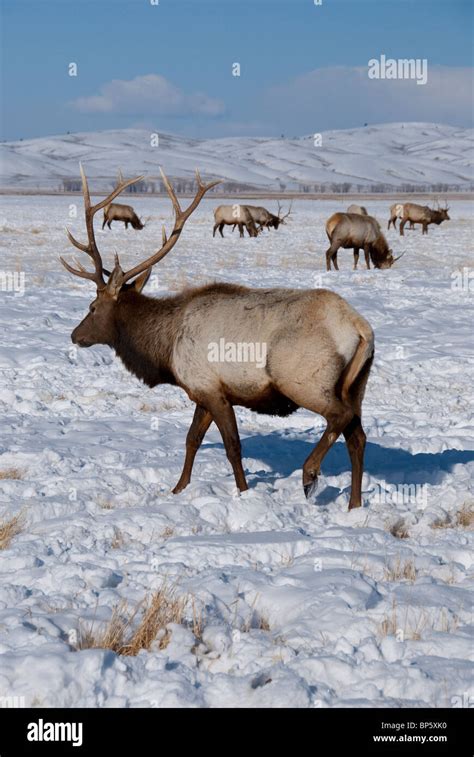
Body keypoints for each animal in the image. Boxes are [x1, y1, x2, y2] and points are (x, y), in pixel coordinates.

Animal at [61, 164, 376, 508]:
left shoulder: (213, 390)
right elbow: (192, 440)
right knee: (357, 437)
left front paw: (243, 492)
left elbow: (232, 447)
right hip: (356, 386)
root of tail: (361, 328)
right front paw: (178, 489)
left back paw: (309, 473)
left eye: (92, 307)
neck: (165, 350)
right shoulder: (203, 390)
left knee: (339, 417)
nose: (75, 335)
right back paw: (354, 504)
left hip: (304, 380)